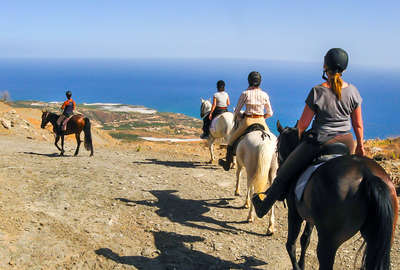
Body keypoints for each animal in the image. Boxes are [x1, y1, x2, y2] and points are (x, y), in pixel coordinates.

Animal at [276, 121, 398, 268]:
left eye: (277, 148)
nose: (279, 169)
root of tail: (368, 174)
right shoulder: (310, 216)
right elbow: (305, 239)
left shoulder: (295, 213)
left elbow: (291, 245)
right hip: (379, 239)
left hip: (328, 243)